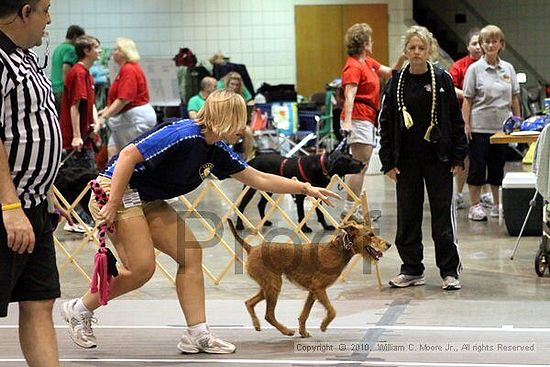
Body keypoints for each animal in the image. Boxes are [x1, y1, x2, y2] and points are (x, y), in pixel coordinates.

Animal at [226, 196, 390, 340]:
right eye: (370, 234)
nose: (388, 244)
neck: (341, 249)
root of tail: (251, 248)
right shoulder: (319, 288)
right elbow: (332, 311)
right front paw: (323, 325)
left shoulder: (313, 291)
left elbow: (305, 313)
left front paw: (303, 332)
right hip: (273, 285)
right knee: (269, 315)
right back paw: (286, 331)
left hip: (268, 286)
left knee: (249, 302)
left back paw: (257, 324)